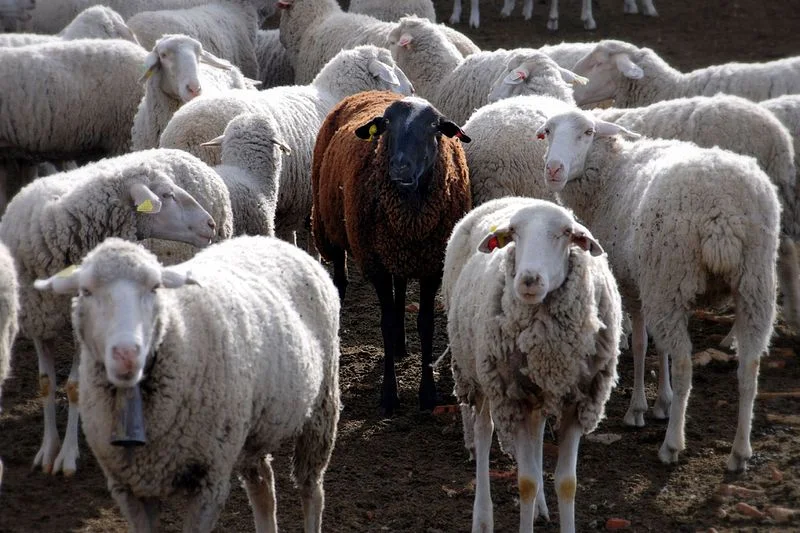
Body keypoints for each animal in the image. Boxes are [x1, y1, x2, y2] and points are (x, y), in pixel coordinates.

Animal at [0, 148, 233, 476]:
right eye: (166, 194)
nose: (209, 225)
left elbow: (74, 388)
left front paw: (67, 456)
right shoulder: (38, 321)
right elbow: (46, 384)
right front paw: (47, 450)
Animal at [34, 235, 341, 533]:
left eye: (155, 287)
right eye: (85, 291)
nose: (127, 354)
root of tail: (272, 239)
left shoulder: (209, 482)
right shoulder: (128, 488)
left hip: (322, 407)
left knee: (311, 489)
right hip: (251, 432)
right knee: (263, 486)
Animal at [312, 90, 472, 414]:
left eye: (434, 126)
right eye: (386, 125)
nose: (400, 167)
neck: (410, 217)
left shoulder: (431, 264)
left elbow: (426, 324)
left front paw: (427, 394)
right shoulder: (376, 265)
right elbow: (384, 325)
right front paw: (389, 396)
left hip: (397, 252)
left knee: (401, 288)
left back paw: (400, 345)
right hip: (330, 228)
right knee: (341, 281)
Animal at [444, 197, 622, 533]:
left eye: (566, 233)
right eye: (514, 233)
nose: (528, 279)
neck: (548, 349)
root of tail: (509, 197)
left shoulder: (578, 401)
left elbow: (567, 483)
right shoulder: (512, 399)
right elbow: (525, 482)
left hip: (535, 391)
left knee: (537, 434)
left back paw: (540, 507)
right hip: (479, 374)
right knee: (484, 432)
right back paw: (482, 516)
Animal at [536, 109, 780, 471]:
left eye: (588, 132)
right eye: (548, 132)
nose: (553, 169)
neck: (611, 175)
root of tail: (722, 210)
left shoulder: (634, 285)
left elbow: (641, 344)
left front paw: (639, 409)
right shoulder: (650, 280)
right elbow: (658, 346)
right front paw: (662, 403)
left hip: (671, 277)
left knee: (684, 366)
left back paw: (672, 445)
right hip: (753, 284)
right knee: (749, 368)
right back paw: (739, 452)